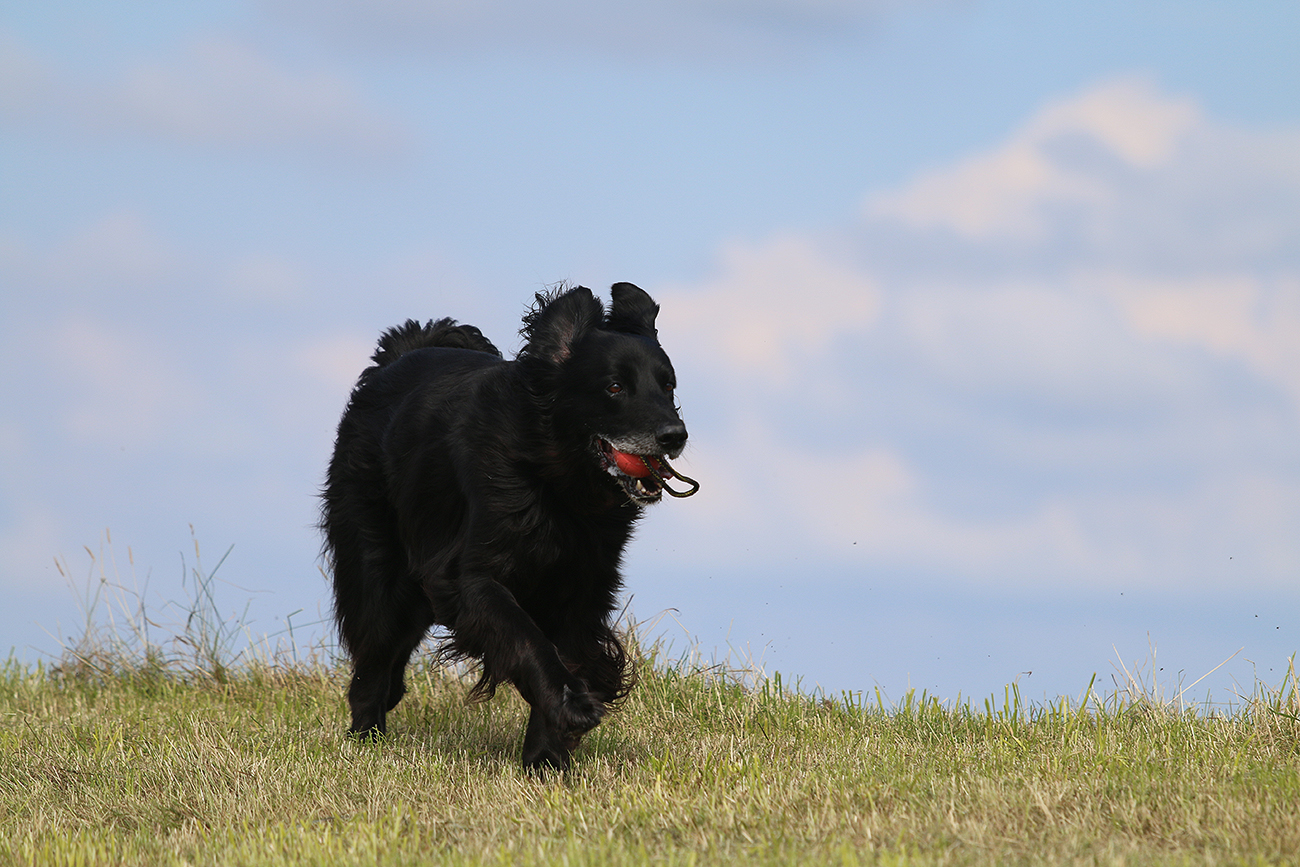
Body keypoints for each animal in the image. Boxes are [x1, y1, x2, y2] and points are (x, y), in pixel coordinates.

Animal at [320, 283, 696, 771]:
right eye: (615, 387)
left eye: (668, 386)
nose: (675, 435)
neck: (554, 481)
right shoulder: (471, 579)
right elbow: (527, 640)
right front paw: (571, 706)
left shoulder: (580, 589)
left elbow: (566, 653)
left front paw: (545, 759)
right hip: (381, 574)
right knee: (373, 661)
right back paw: (367, 738)